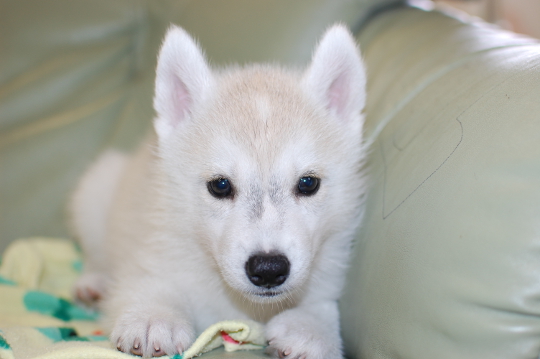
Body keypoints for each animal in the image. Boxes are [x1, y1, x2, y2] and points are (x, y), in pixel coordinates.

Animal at [69, 24, 368, 359]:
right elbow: (148, 282)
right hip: (97, 189)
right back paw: (93, 283)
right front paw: (153, 316)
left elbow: (322, 303)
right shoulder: (151, 249)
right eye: (220, 185)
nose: (268, 269)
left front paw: (311, 328)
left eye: (308, 183)